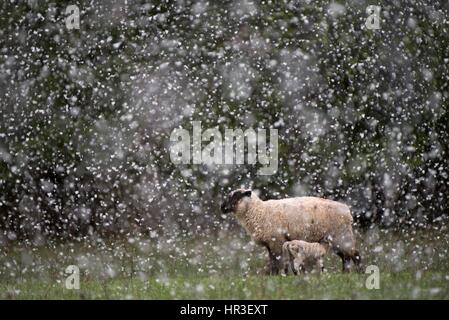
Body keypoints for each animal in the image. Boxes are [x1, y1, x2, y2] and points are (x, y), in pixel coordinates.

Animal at [220, 188, 360, 276]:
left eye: (236, 195)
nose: (222, 207)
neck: (259, 211)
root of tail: (347, 210)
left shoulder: (276, 241)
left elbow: (276, 261)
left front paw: (274, 276)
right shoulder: (271, 243)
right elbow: (272, 260)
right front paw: (273, 276)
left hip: (341, 235)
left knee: (354, 254)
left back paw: (358, 273)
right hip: (336, 238)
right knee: (346, 256)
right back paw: (346, 273)